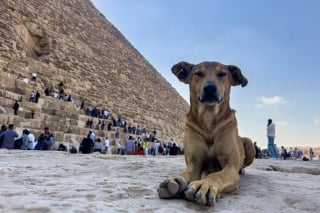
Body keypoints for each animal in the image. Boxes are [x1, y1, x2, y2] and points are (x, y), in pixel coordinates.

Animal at [158, 60, 255, 206]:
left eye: (222, 74)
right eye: (198, 73)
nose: (210, 88)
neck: (208, 120)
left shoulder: (230, 167)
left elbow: (216, 175)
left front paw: (205, 185)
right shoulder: (194, 162)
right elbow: (187, 172)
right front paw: (176, 180)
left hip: (249, 143)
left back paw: (242, 170)